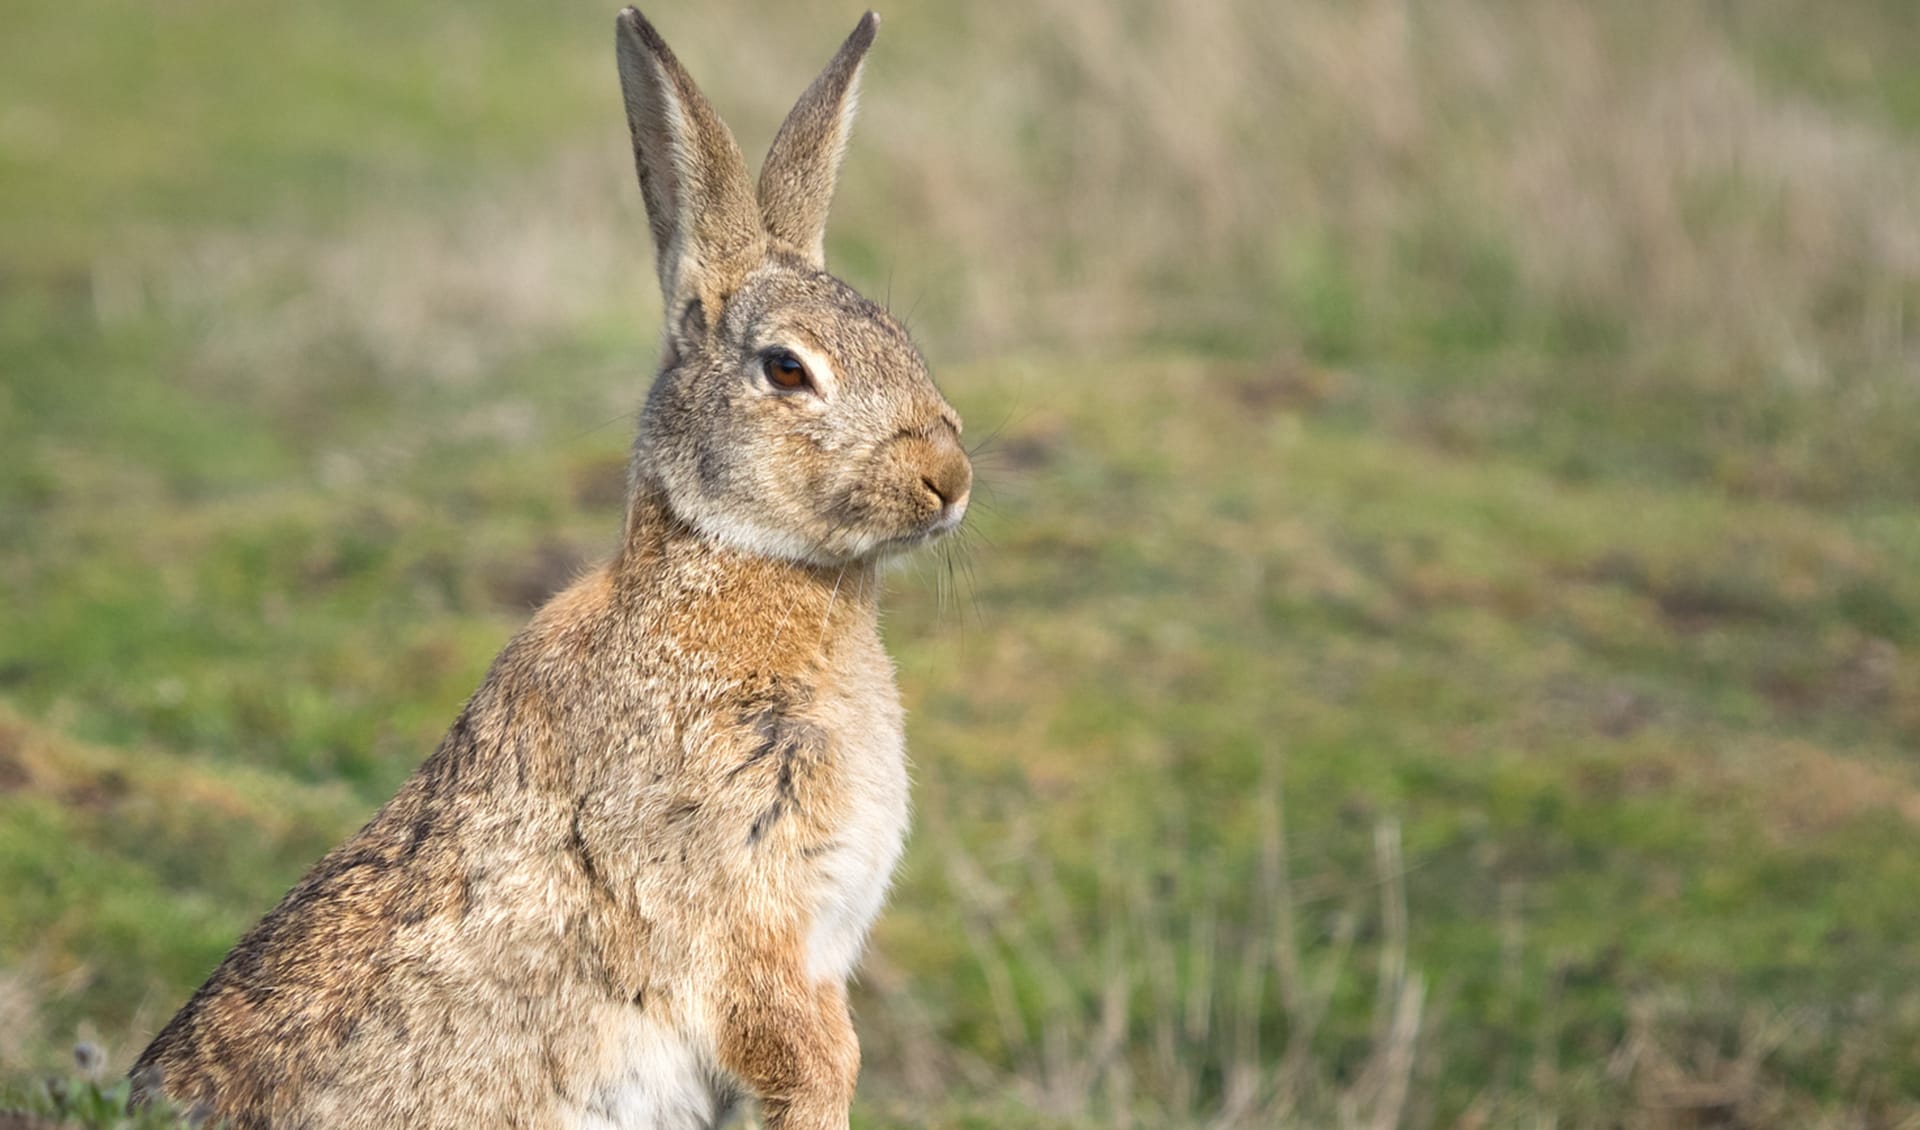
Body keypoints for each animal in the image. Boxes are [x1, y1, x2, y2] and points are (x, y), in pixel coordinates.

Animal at [128, 8, 969, 1129]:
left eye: (899, 336)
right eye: (787, 369)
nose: (950, 478)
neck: (735, 561)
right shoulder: (736, 905)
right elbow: (796, 1041)